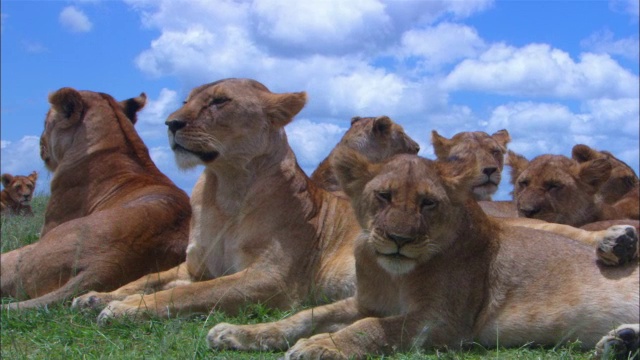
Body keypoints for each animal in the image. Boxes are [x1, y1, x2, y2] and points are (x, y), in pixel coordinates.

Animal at [72, 78, 362, 320]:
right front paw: (95, 297)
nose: (170, 123)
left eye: (219, 101)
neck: (224, 190)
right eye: (185, 101)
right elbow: (148, 278)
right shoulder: (196, 269)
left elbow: (192, 292)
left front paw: (126, 307)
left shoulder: (272, 279)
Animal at [210, 150, 640, 360]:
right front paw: (237, 333)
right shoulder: (366, 301)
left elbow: (373, 329)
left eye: (428, 203)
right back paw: (620, 342)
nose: (398, 239)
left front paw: (321, 347)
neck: (392, 274)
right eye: (384, 196)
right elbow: (303, 316)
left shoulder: (445, 322)